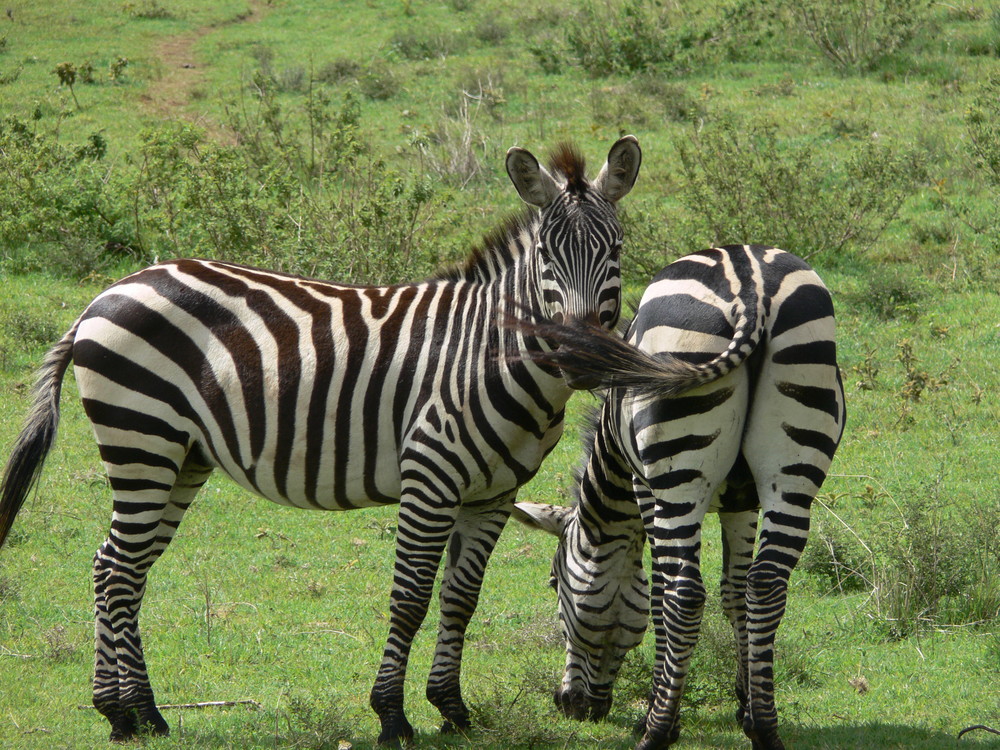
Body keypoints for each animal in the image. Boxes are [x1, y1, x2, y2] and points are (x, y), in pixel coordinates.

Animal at [0, 137, 640, 748]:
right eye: (546, 256)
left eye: (615, 251)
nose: (580, 356)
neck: (490, 353)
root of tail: (102, 297)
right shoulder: (430, 478)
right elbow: (410, 598)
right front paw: (392, 717)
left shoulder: (494, 495)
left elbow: (460, 598)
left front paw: (452, 710)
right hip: (141, 439)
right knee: (118, 570)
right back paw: (131, 712)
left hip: (181, 457)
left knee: (117, 566)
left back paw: (127, 713)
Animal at [516, 245, 844, 750]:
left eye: (554, 584)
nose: (570, 706)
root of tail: (750, 284)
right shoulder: (743, 502)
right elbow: (735, 592)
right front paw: (745, 705)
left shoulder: (642, 487)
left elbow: (658, 596)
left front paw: (656, 715)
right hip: (793, 465)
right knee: (766, 584)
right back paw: (766, 729)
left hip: (677, 471)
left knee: (685, 594)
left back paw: (655, 731)